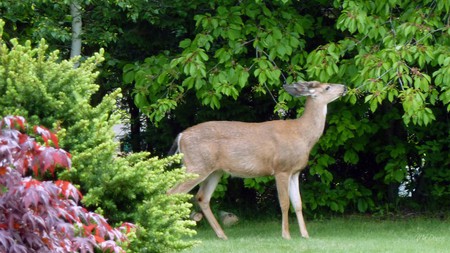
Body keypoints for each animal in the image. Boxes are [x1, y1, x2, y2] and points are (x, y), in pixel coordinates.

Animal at [169, 80, 348, 239]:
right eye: (327, 87)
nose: (345, 87)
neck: (302, 135)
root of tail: (181, 136)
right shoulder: (281, 169)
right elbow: (284, 203)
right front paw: (286, 235)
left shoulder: (295, 172)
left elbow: (298, 204)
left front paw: (305, 235)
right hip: (196, 165)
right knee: (172, 192)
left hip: (214, 171)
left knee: (202, 197)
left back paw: (222, 235)